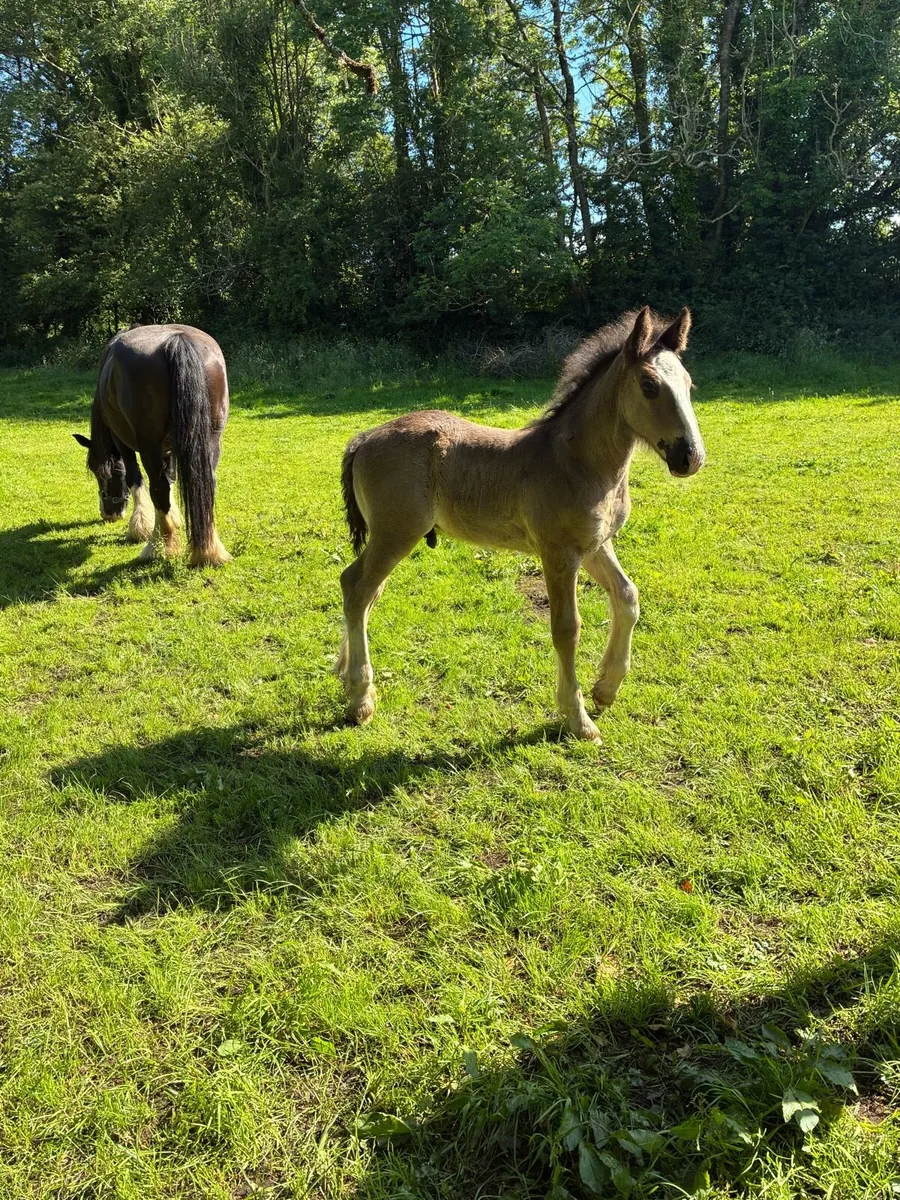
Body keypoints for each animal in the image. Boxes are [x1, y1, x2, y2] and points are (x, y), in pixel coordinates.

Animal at [73, 324, 231, 567]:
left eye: (100, 473)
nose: (108, 513)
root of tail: (177, 340)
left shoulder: (123, 442)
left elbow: (136, 479)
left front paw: (141, 527)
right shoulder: (170, 447)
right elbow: (172, 476)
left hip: (149, 446)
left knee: (158, 488)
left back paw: (158, 546)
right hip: (211, 441)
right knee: (206, 485)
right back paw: (208, 551)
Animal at [336, 306, 705, 740]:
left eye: (689, 384)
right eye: (648, 385)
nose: (691, 456)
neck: (578, 461)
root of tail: (364, 438)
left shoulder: (595, 545)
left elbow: (628, 597)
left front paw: (606, 689)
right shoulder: (559, 553)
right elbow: (567, 628)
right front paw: (578, 719)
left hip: (390, 534)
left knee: (362, 589)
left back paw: (346, 675)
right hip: (396, 532)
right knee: (357, 588)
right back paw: (360, 699)